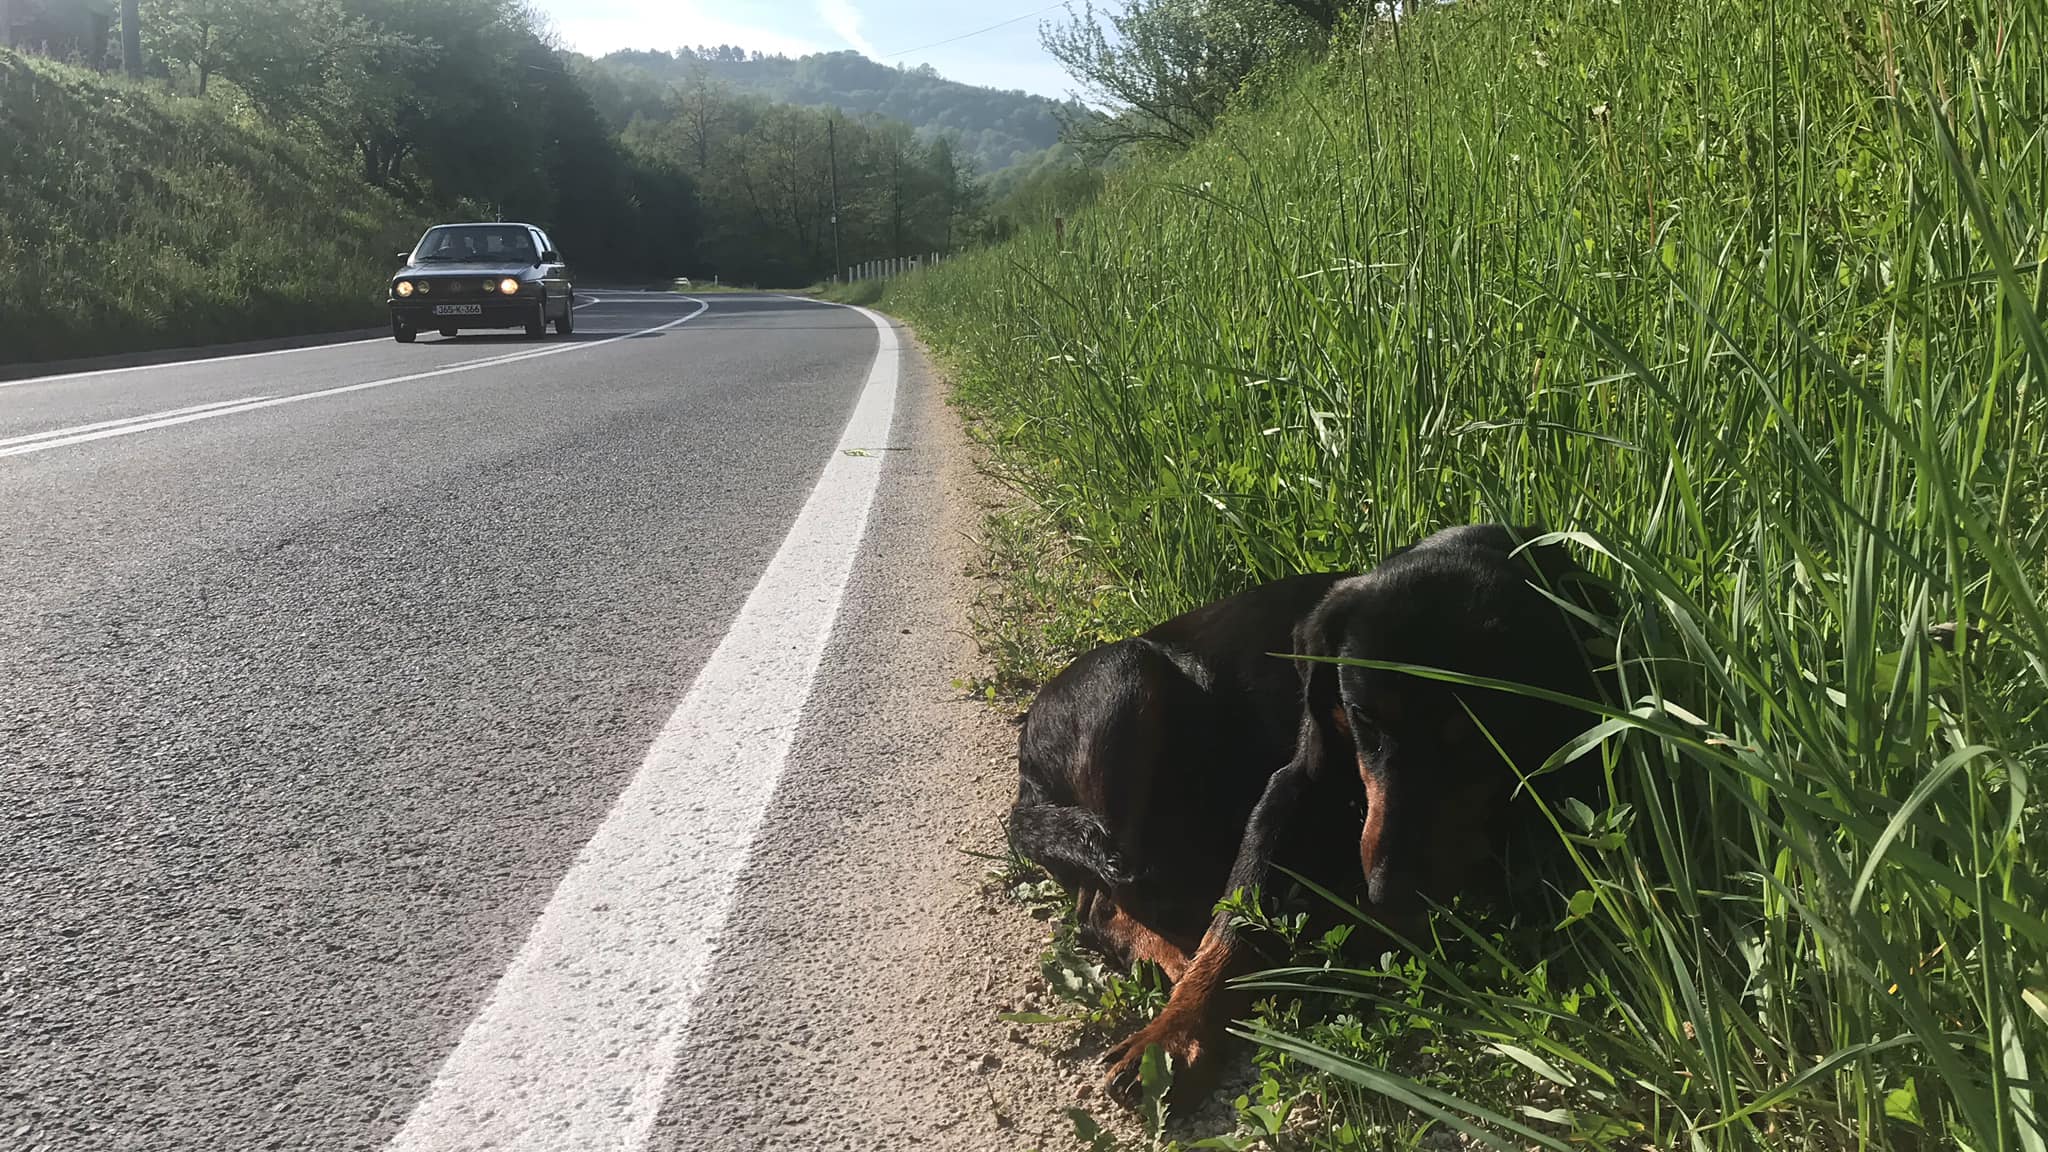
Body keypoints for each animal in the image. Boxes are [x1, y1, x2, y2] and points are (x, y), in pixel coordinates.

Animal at [1015, 520, 1605, 1090]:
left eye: (1479, 734)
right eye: (1361, 715)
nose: (1387, 893)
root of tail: (1025, 781)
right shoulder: (1294, 781)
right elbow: (1237, 921)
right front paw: (1174, 1032)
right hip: (1127, 677)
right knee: (1102, 904)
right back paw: (1179, 961)